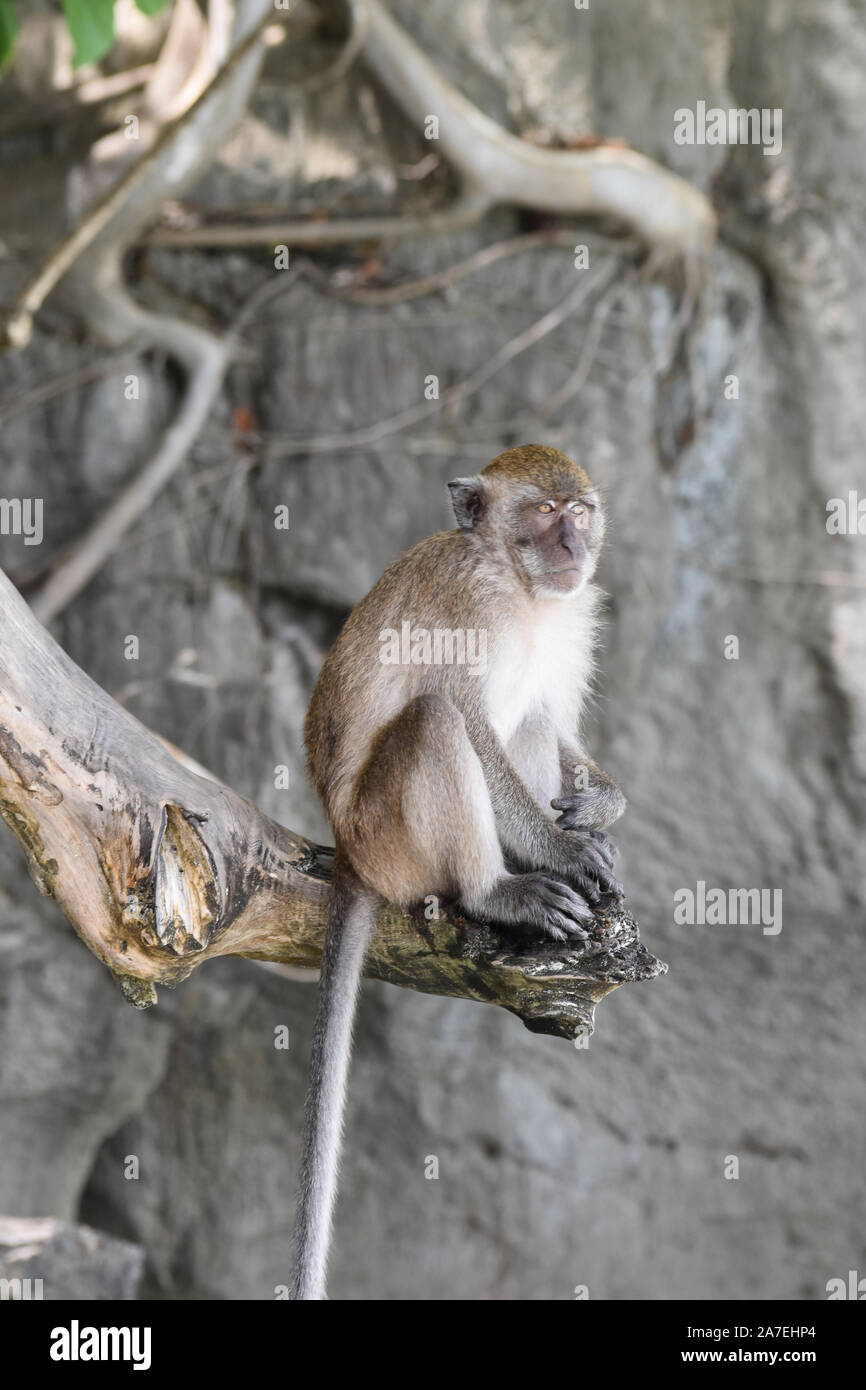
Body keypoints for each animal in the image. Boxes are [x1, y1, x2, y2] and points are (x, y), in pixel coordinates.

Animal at [291, 444, 622, 1301]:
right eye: (544, 512)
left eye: (579, 512)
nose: (572, 544)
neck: (519, 586)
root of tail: (345, 846)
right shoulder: (467, 602)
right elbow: (465, 716)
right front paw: (565, 851)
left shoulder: (573, 615)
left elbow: (552, 718)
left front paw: (602, 805)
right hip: (386, 835)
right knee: (437, 720)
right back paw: (497, 890)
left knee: (529, 715)